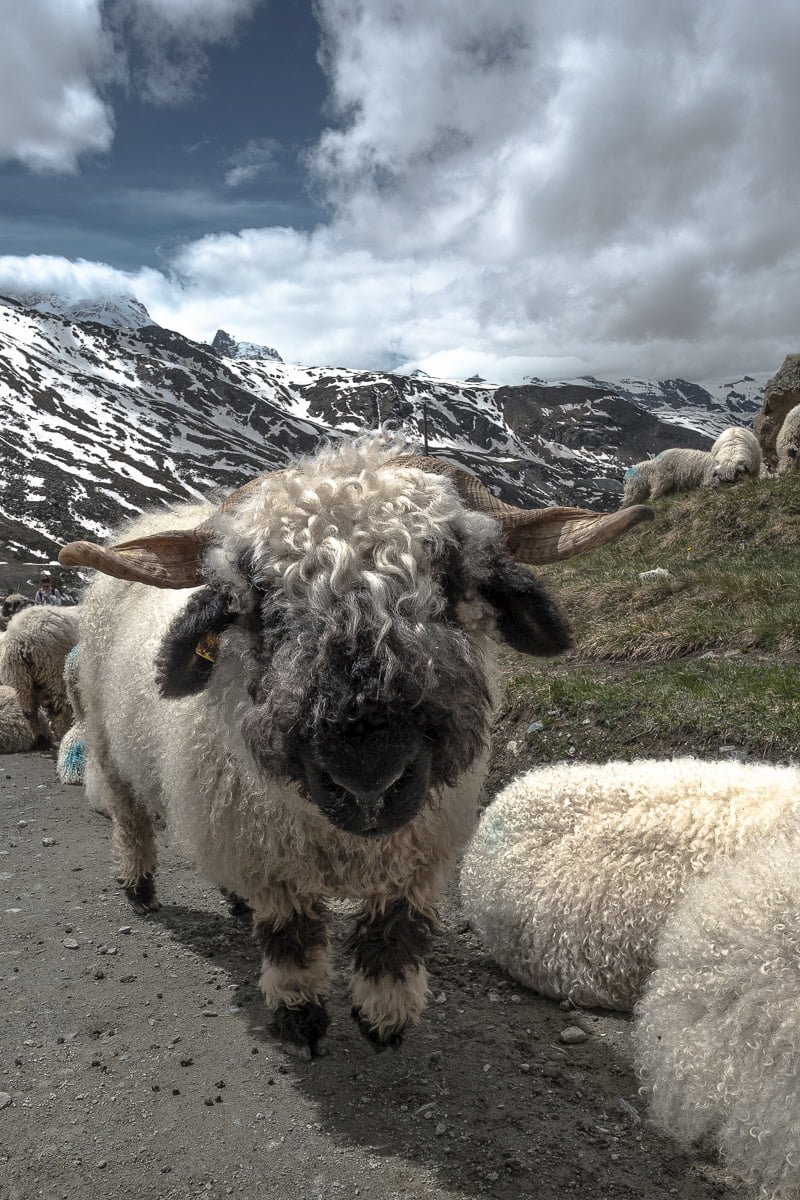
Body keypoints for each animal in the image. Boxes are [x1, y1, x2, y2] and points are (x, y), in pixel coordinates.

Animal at [0, 604, 80, 744]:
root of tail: (21, 641)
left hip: (19, 682)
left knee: (29, 713)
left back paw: (41, 737)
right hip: (55, 673)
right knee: (60, 711)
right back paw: (62, 734)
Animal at [61, 436, 652, 1056]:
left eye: (450, 578)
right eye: (260, 597)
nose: (368, 777)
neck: (345, 840)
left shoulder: (418, 845)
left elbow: (394, 931)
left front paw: (384, 1017)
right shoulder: (269, 851)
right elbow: (292, 936)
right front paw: (300, 1016)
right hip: (107, 744)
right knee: (131, 819)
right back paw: (139, 886)